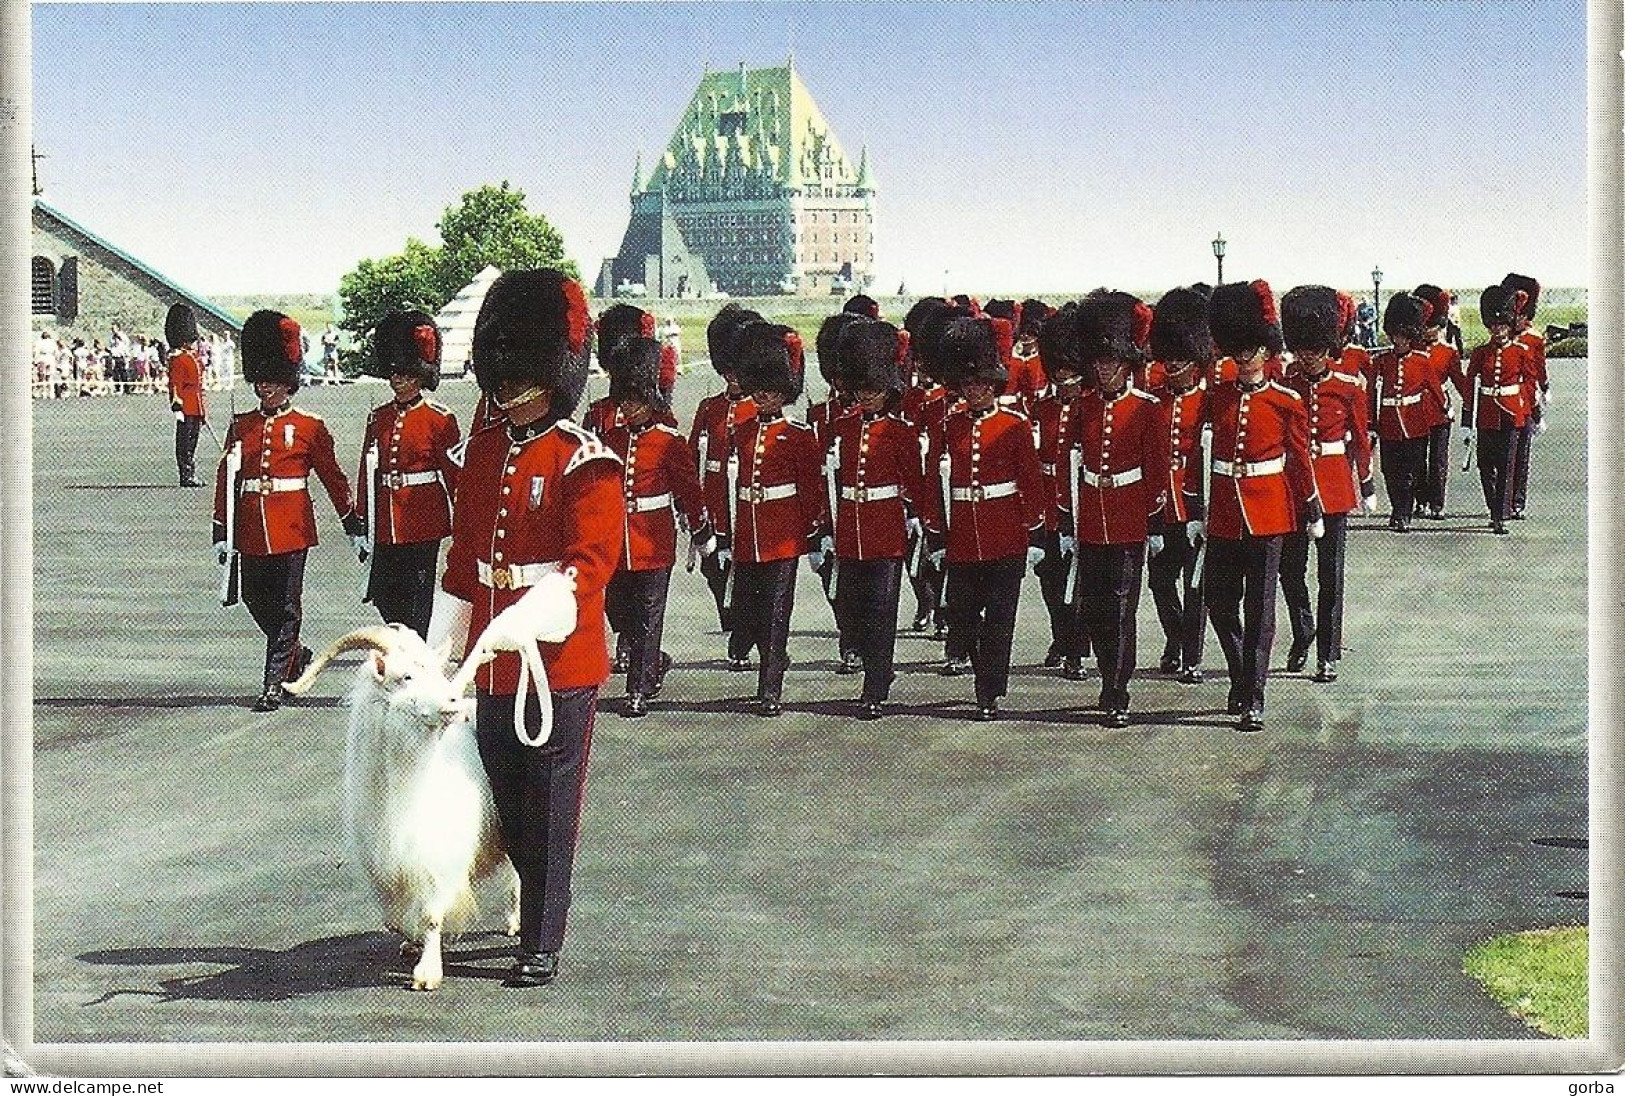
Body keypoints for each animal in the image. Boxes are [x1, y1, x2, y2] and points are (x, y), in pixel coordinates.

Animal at [282, 624, 516, 988]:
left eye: (437, 671)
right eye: (406, 676)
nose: (453, 702)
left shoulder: (436, 856)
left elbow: (431, 915)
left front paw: (427, 974)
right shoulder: (383, 863)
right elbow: (394, 918)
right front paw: (411, 942)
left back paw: (516, 923)